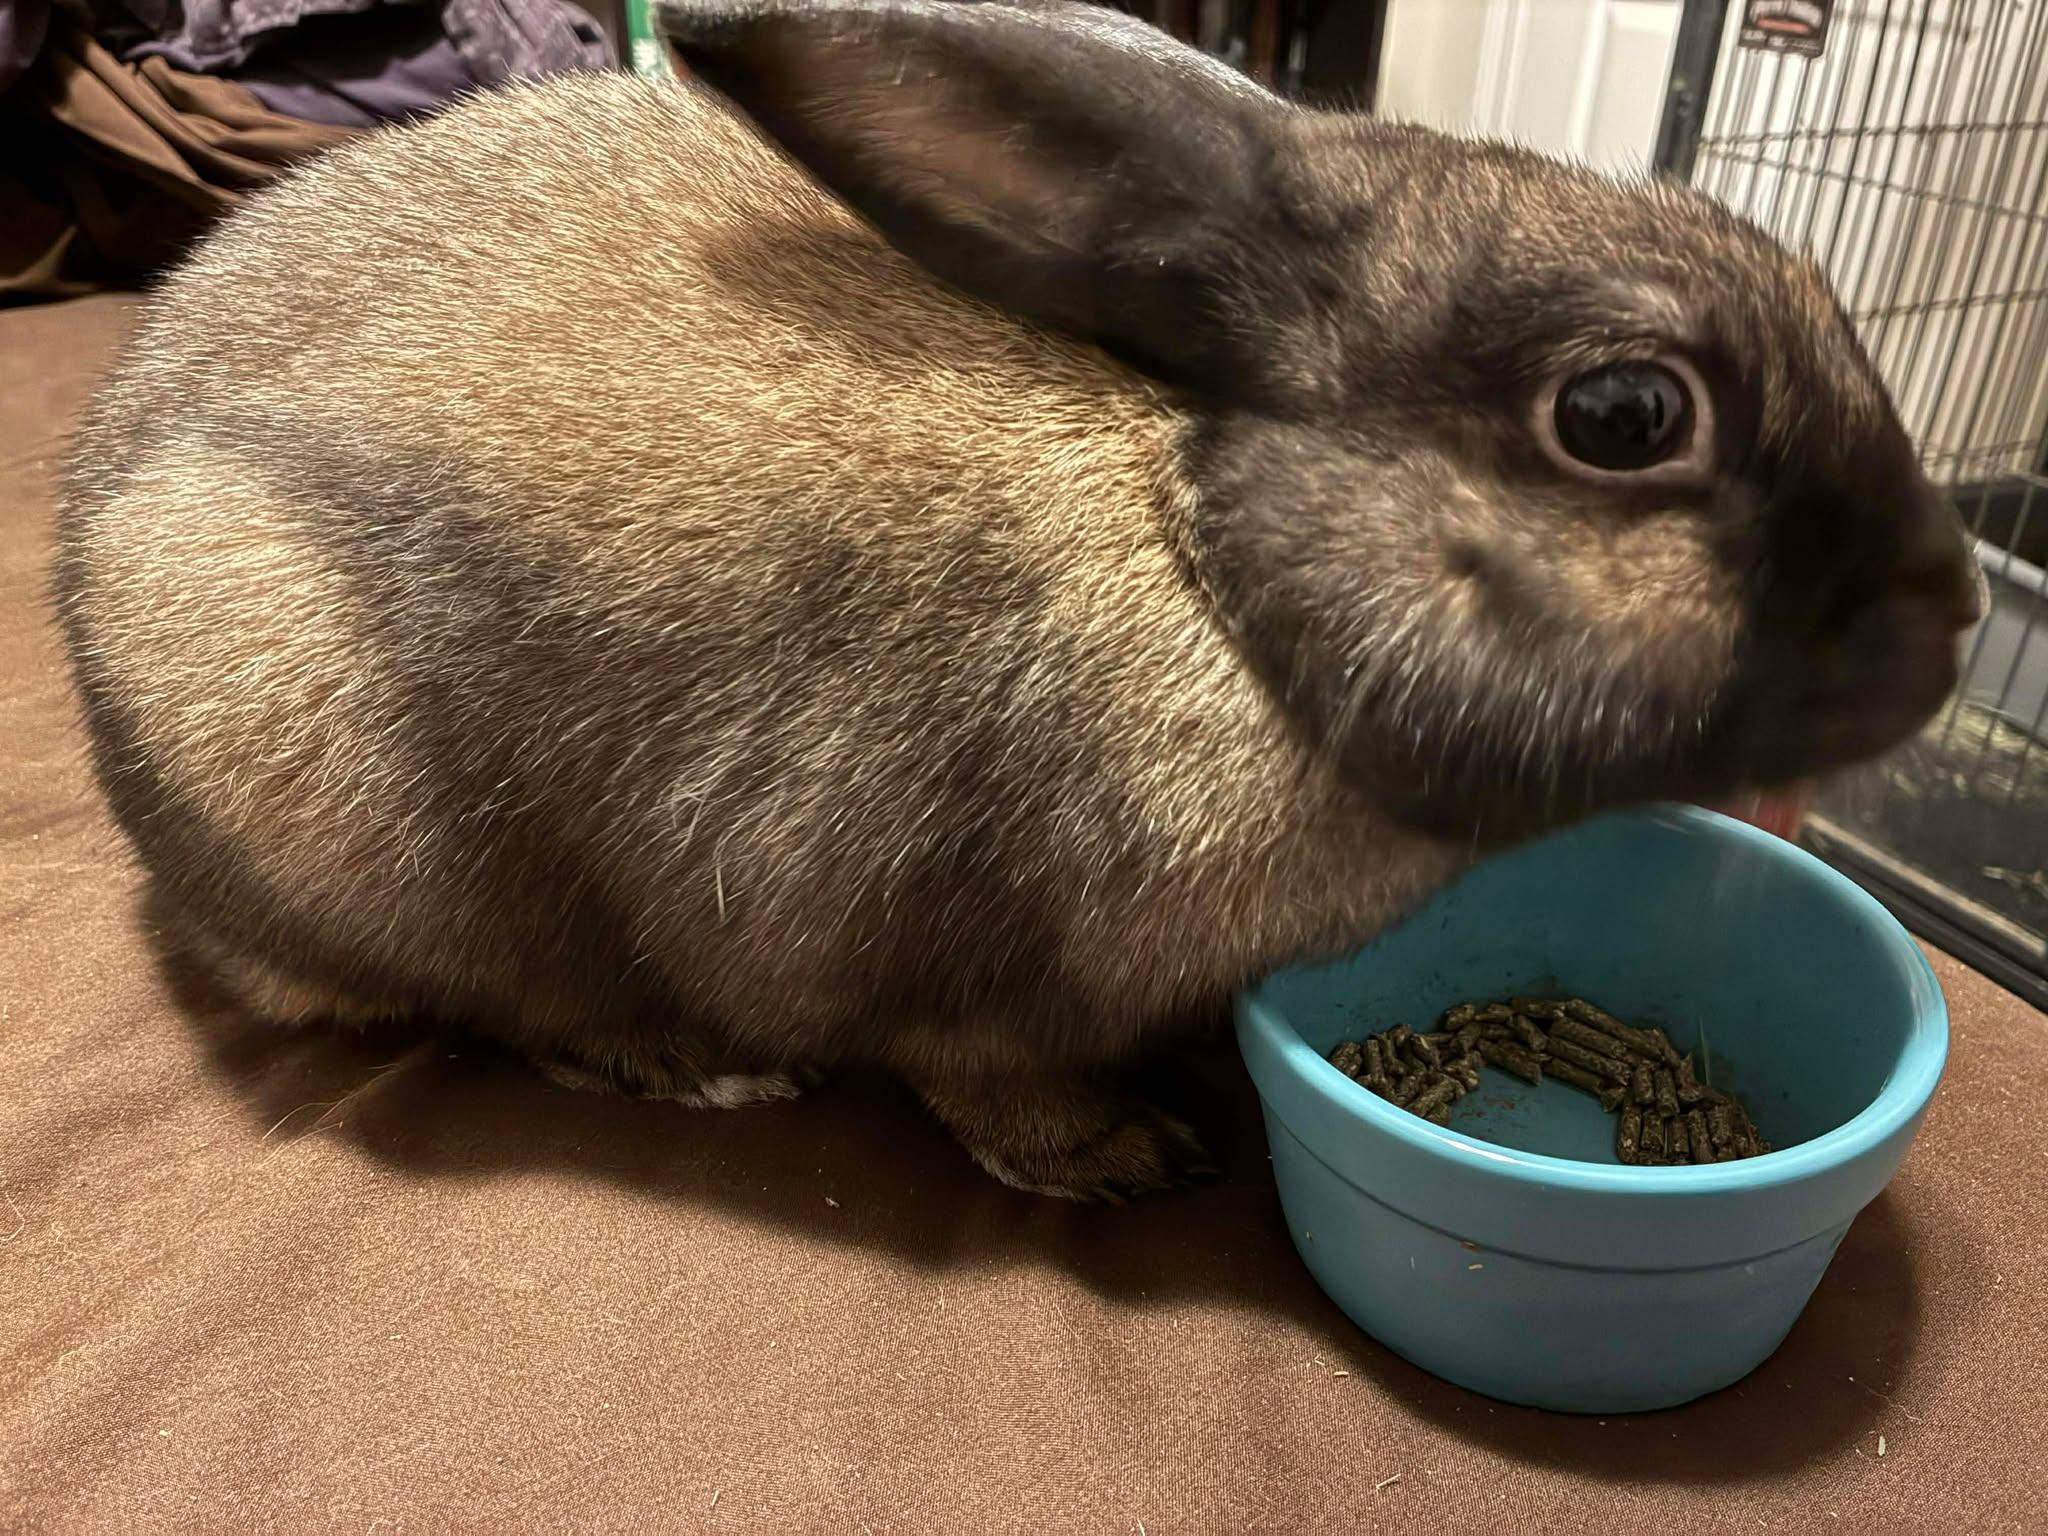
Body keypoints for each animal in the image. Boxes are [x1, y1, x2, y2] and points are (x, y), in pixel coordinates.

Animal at [55, 0, 1980, 1200]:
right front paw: (1122, 1160)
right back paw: (689, 1066)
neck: (1217, 570)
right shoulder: (937, 960)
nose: (1956, 611)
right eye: (1624, 416)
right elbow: (983, 1078)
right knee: (508, 1002)